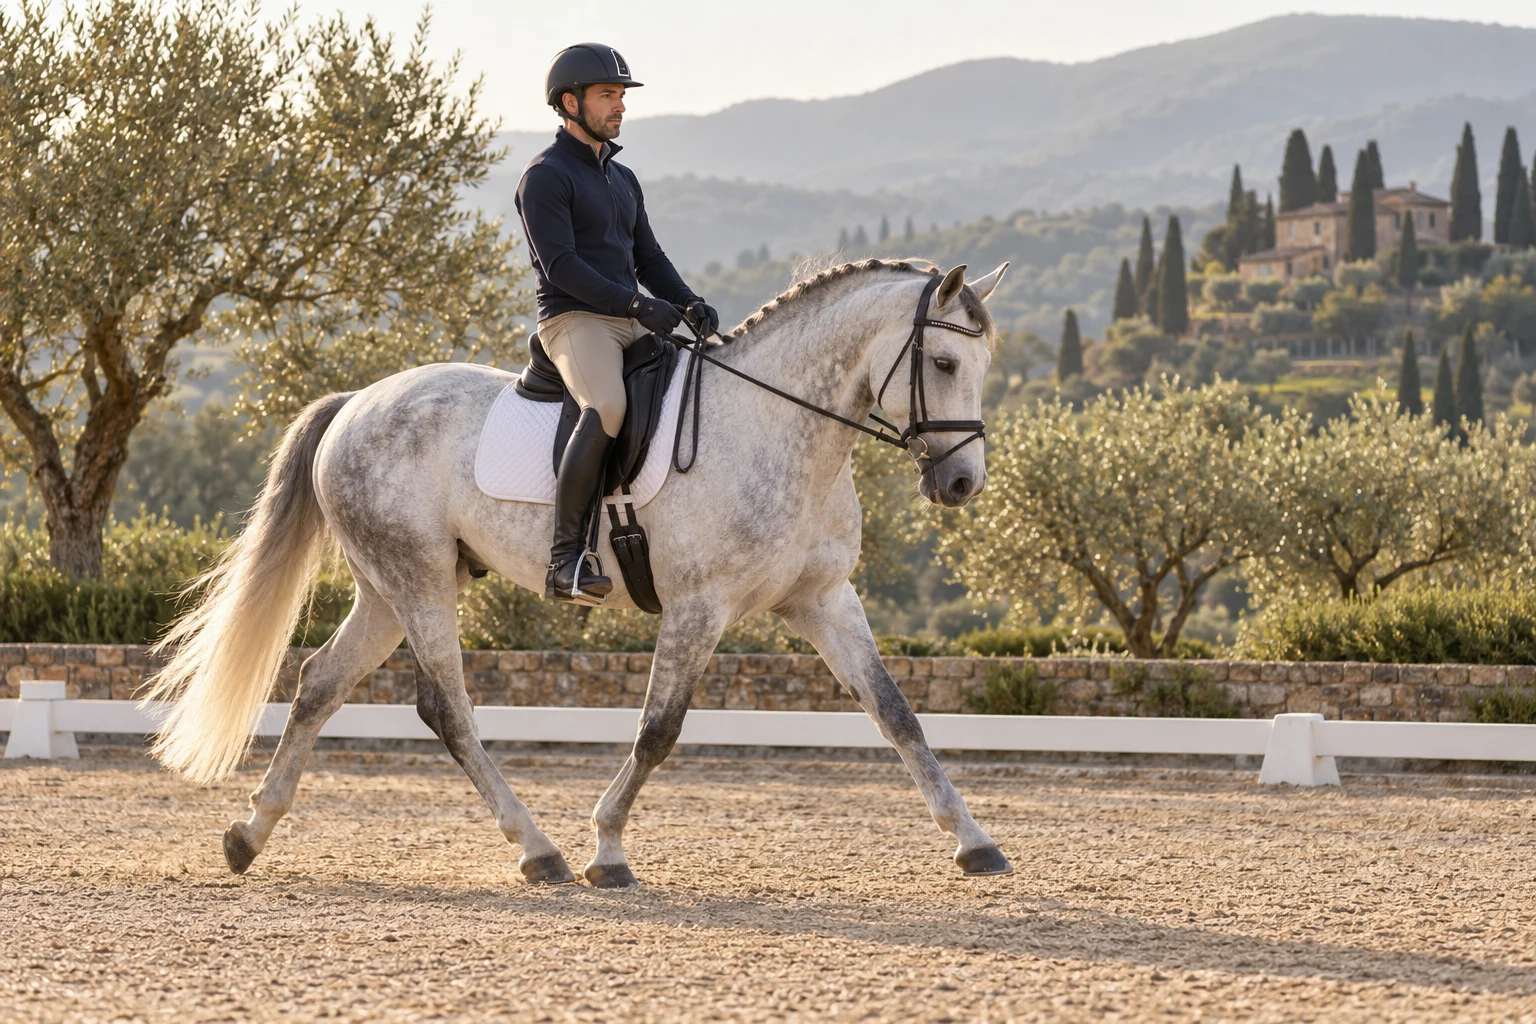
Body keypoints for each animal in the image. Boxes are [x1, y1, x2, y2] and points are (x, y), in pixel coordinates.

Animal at [144, 257, 1014, 886]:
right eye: (942, 361)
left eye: (982, 365)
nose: (962, 484)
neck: (778, 428)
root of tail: (357, 401)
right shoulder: (699, 606)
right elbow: (659, 731)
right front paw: (608, 849)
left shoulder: (824, 599)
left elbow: (897, 713)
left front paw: (975, 842)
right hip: (414, 579)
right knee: (446, 708)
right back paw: (540, 852)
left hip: (390, 589)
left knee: (320, 682)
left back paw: (248, 835)